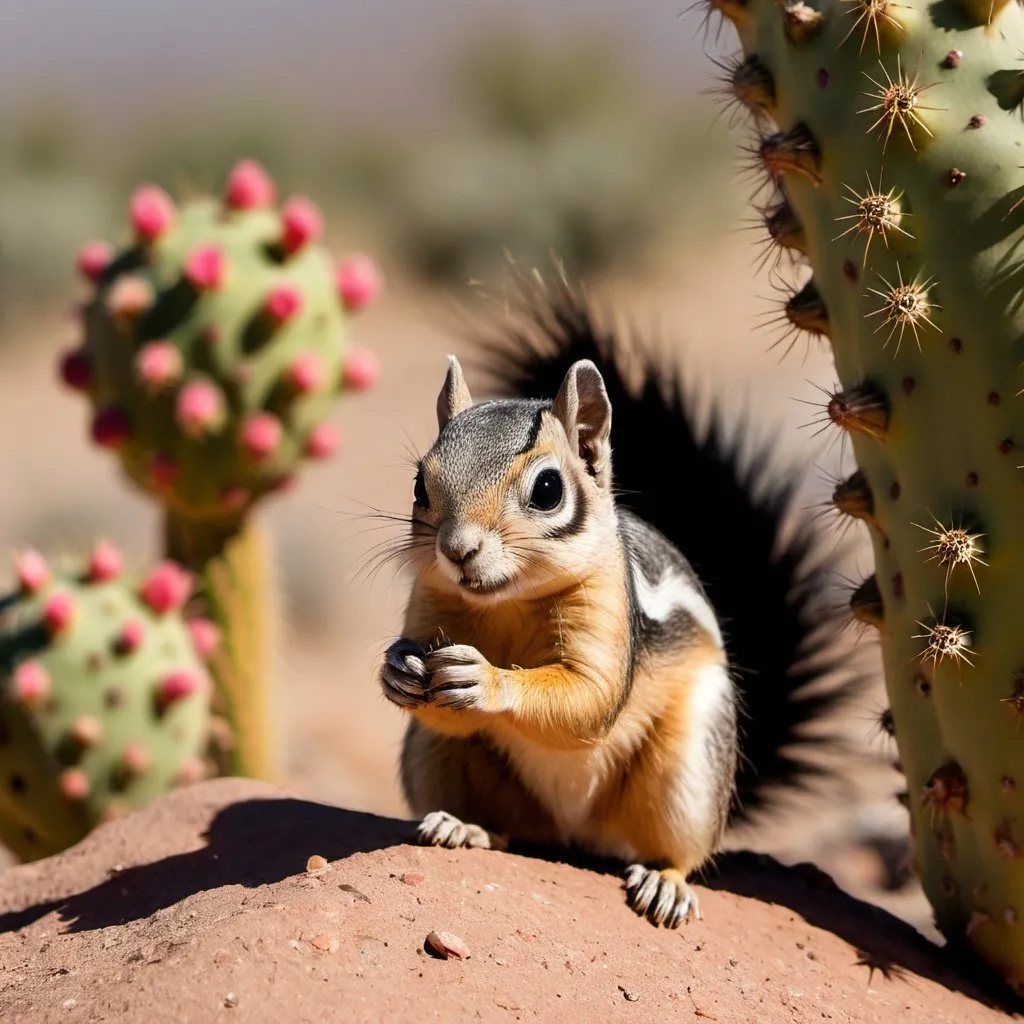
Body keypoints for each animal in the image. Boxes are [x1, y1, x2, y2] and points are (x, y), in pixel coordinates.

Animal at [376, 270, 864, 929]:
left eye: (548, 489)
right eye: (419, 485)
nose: (456, 550)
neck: (507, 604)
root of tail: (575, 835)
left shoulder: (605, 610)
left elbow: (590, 697)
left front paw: (489, 681)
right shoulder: (429, 604)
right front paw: (395, 669)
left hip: (689, 766)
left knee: (680, 852)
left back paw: (665, 884)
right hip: (438, 759)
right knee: (505, 829)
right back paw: (464, 826)